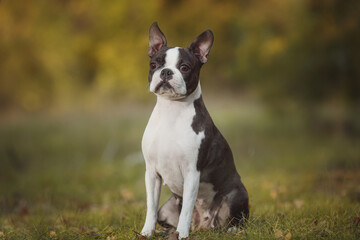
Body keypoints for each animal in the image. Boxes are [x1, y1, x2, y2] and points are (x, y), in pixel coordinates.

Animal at [140, 21, 248, 239]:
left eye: (184, 67)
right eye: (154, 65)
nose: (166, 72)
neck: (171, 111)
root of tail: (202, 225)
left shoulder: (192, 172)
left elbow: (187, 208)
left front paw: (182, 234)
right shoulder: (152, 173)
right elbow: (150, 206)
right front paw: (147, 232)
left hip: (236, 194)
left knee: (236, 220)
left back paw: (231, 229)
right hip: (167, 207)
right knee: (163, 214)